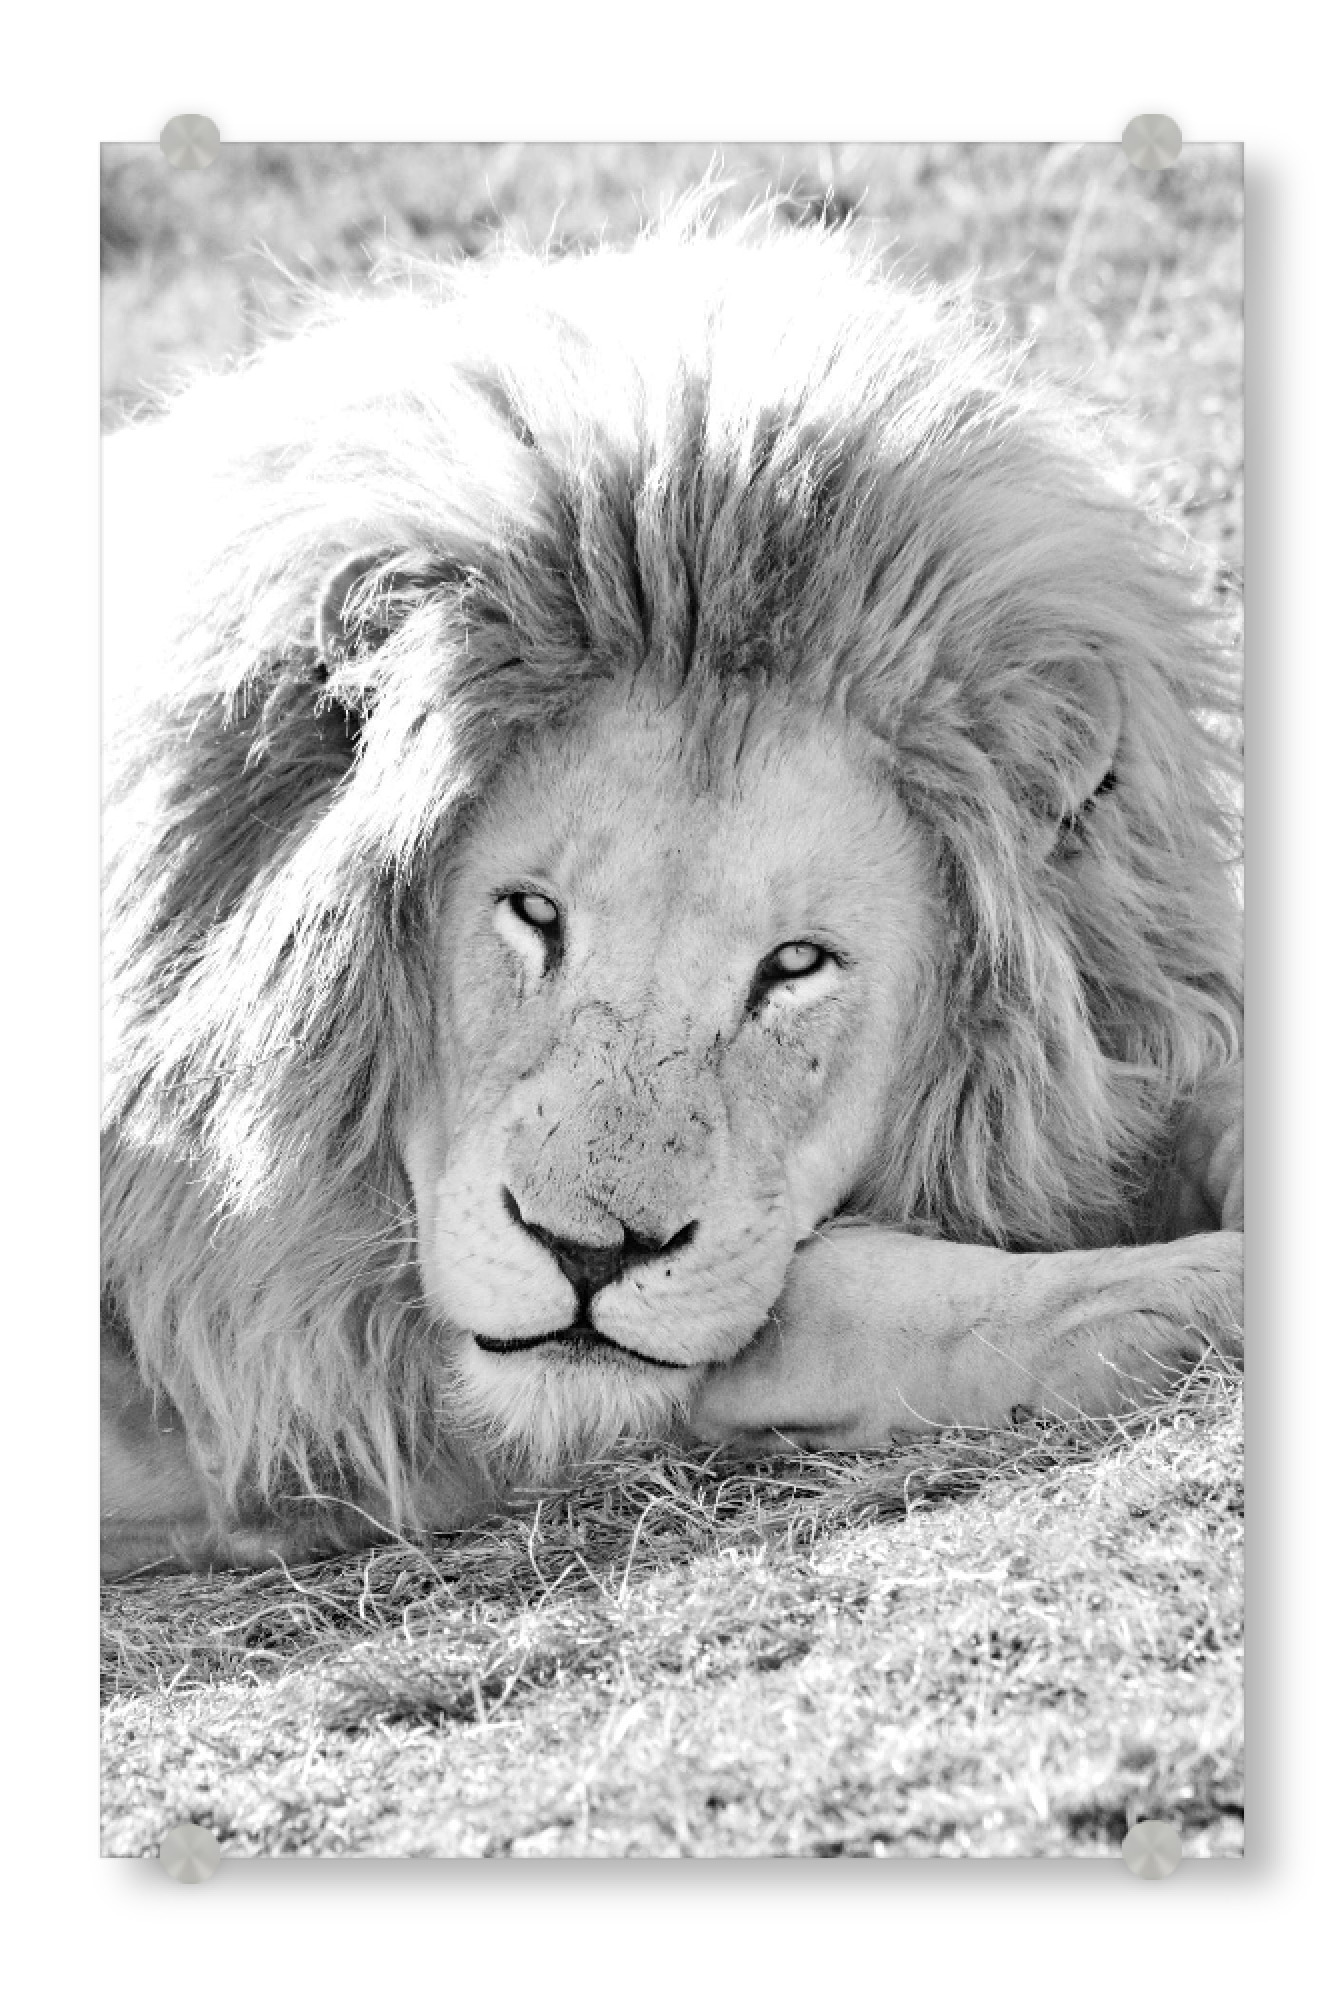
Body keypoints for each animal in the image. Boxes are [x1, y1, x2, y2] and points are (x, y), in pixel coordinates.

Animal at [101, 221, 1243, 1578]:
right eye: (533, 913)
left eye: (795, 964)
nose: (590, 1253)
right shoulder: (289, 1350)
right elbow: (842, 1301)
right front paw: (1191, 1296)